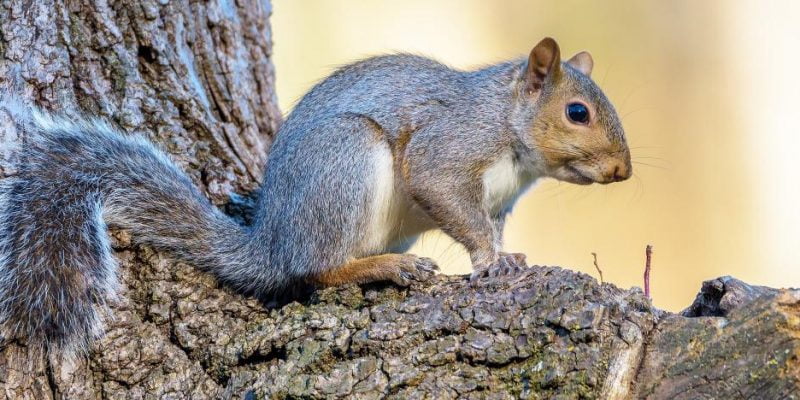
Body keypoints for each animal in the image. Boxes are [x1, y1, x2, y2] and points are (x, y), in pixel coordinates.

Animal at [0, 36, 632, 350]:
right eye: (577, 112)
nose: (623, 172)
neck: (508, 125)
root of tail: (271, 244)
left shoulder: (499, 201)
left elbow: (489, 227)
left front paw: (504, 258)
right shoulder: (450, 146)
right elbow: (446, 195)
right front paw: (493, 263)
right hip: (346, 164)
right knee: (313, 270)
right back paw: (378, 269)